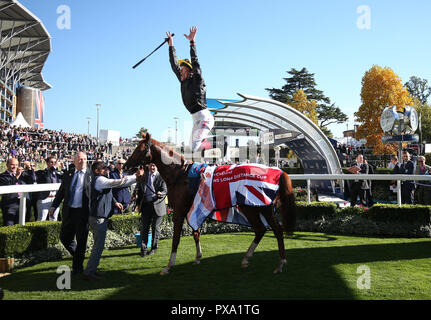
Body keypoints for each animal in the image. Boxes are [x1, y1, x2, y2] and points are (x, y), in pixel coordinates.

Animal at [125, 132, 296, 276]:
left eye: (139, 149)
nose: (126, 166)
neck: (180, 175)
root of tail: (277, 171)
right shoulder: (192, 209)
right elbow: (196, 233)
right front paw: (197, 257)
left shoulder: (179, 211)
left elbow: (176, 238)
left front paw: (168, 266)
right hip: (259, 208)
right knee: (269, 230)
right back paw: (260, 260)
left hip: (254, 207)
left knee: (268, 229)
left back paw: (272, 262)